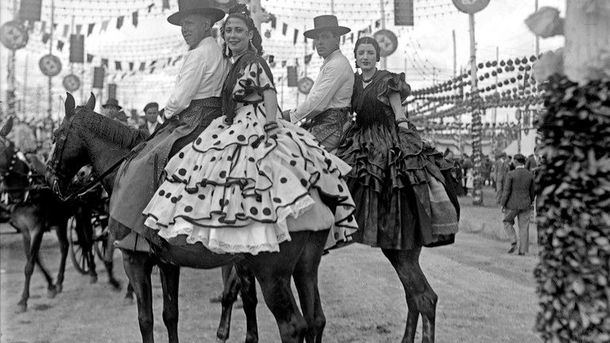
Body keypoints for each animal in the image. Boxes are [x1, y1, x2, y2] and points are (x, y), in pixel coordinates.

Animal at [47, 93, 330, 343]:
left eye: (56, 134)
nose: (49, 176)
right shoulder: (168, 263)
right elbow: (170, 315)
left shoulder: (134, 260)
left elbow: (145, 320)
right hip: (305, 267)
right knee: (315, 319)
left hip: (271, 273)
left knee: (292, 327)